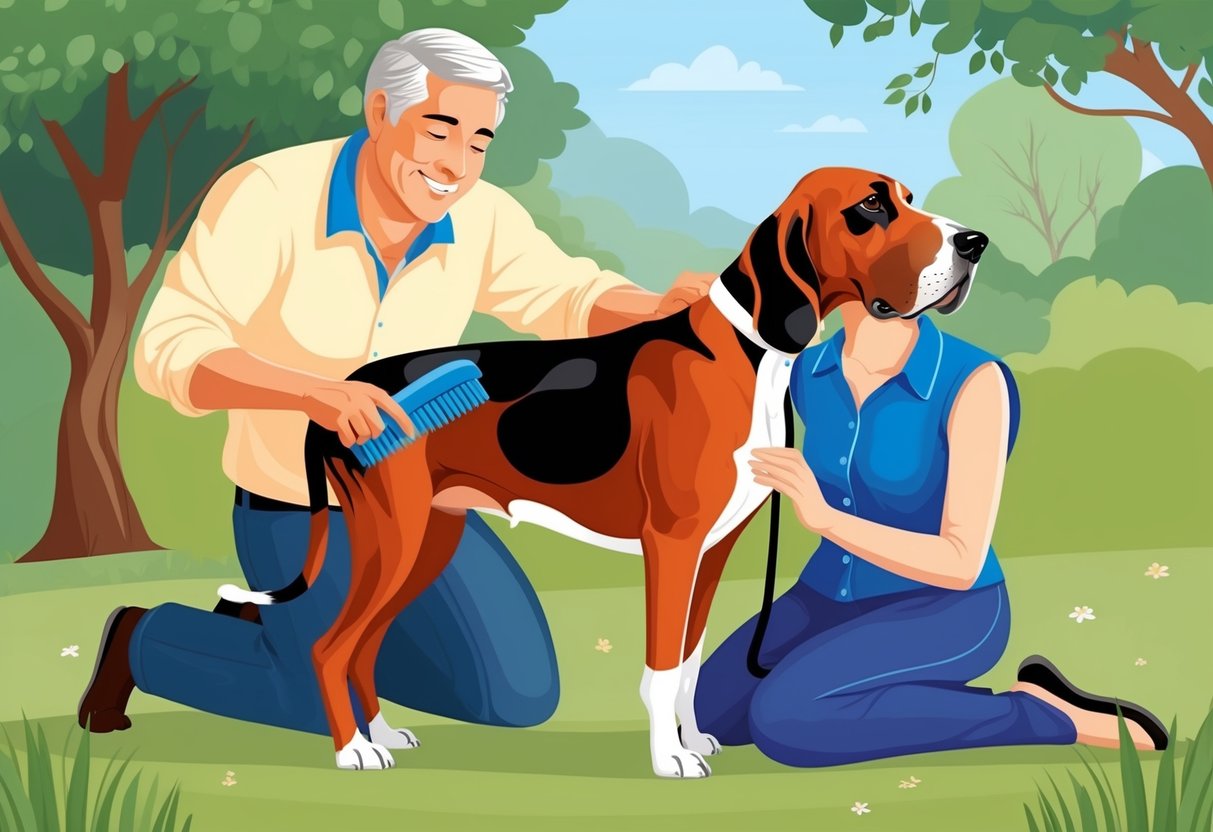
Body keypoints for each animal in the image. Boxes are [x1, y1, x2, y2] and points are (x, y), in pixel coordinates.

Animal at [220, 166, 984, 781]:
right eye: (870, 206)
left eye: (907, 198)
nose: (973, 242)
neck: (750, 353)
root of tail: (345, 395)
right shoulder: (672, 546)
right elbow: (661, 666)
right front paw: (669, 759)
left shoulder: (712, 554)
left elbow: (688, 663)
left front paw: (691, 738)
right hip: (397, 536)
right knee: (330, 647)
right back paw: (352, 749)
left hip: (426, 542)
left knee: (364, 648)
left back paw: (380, 733)